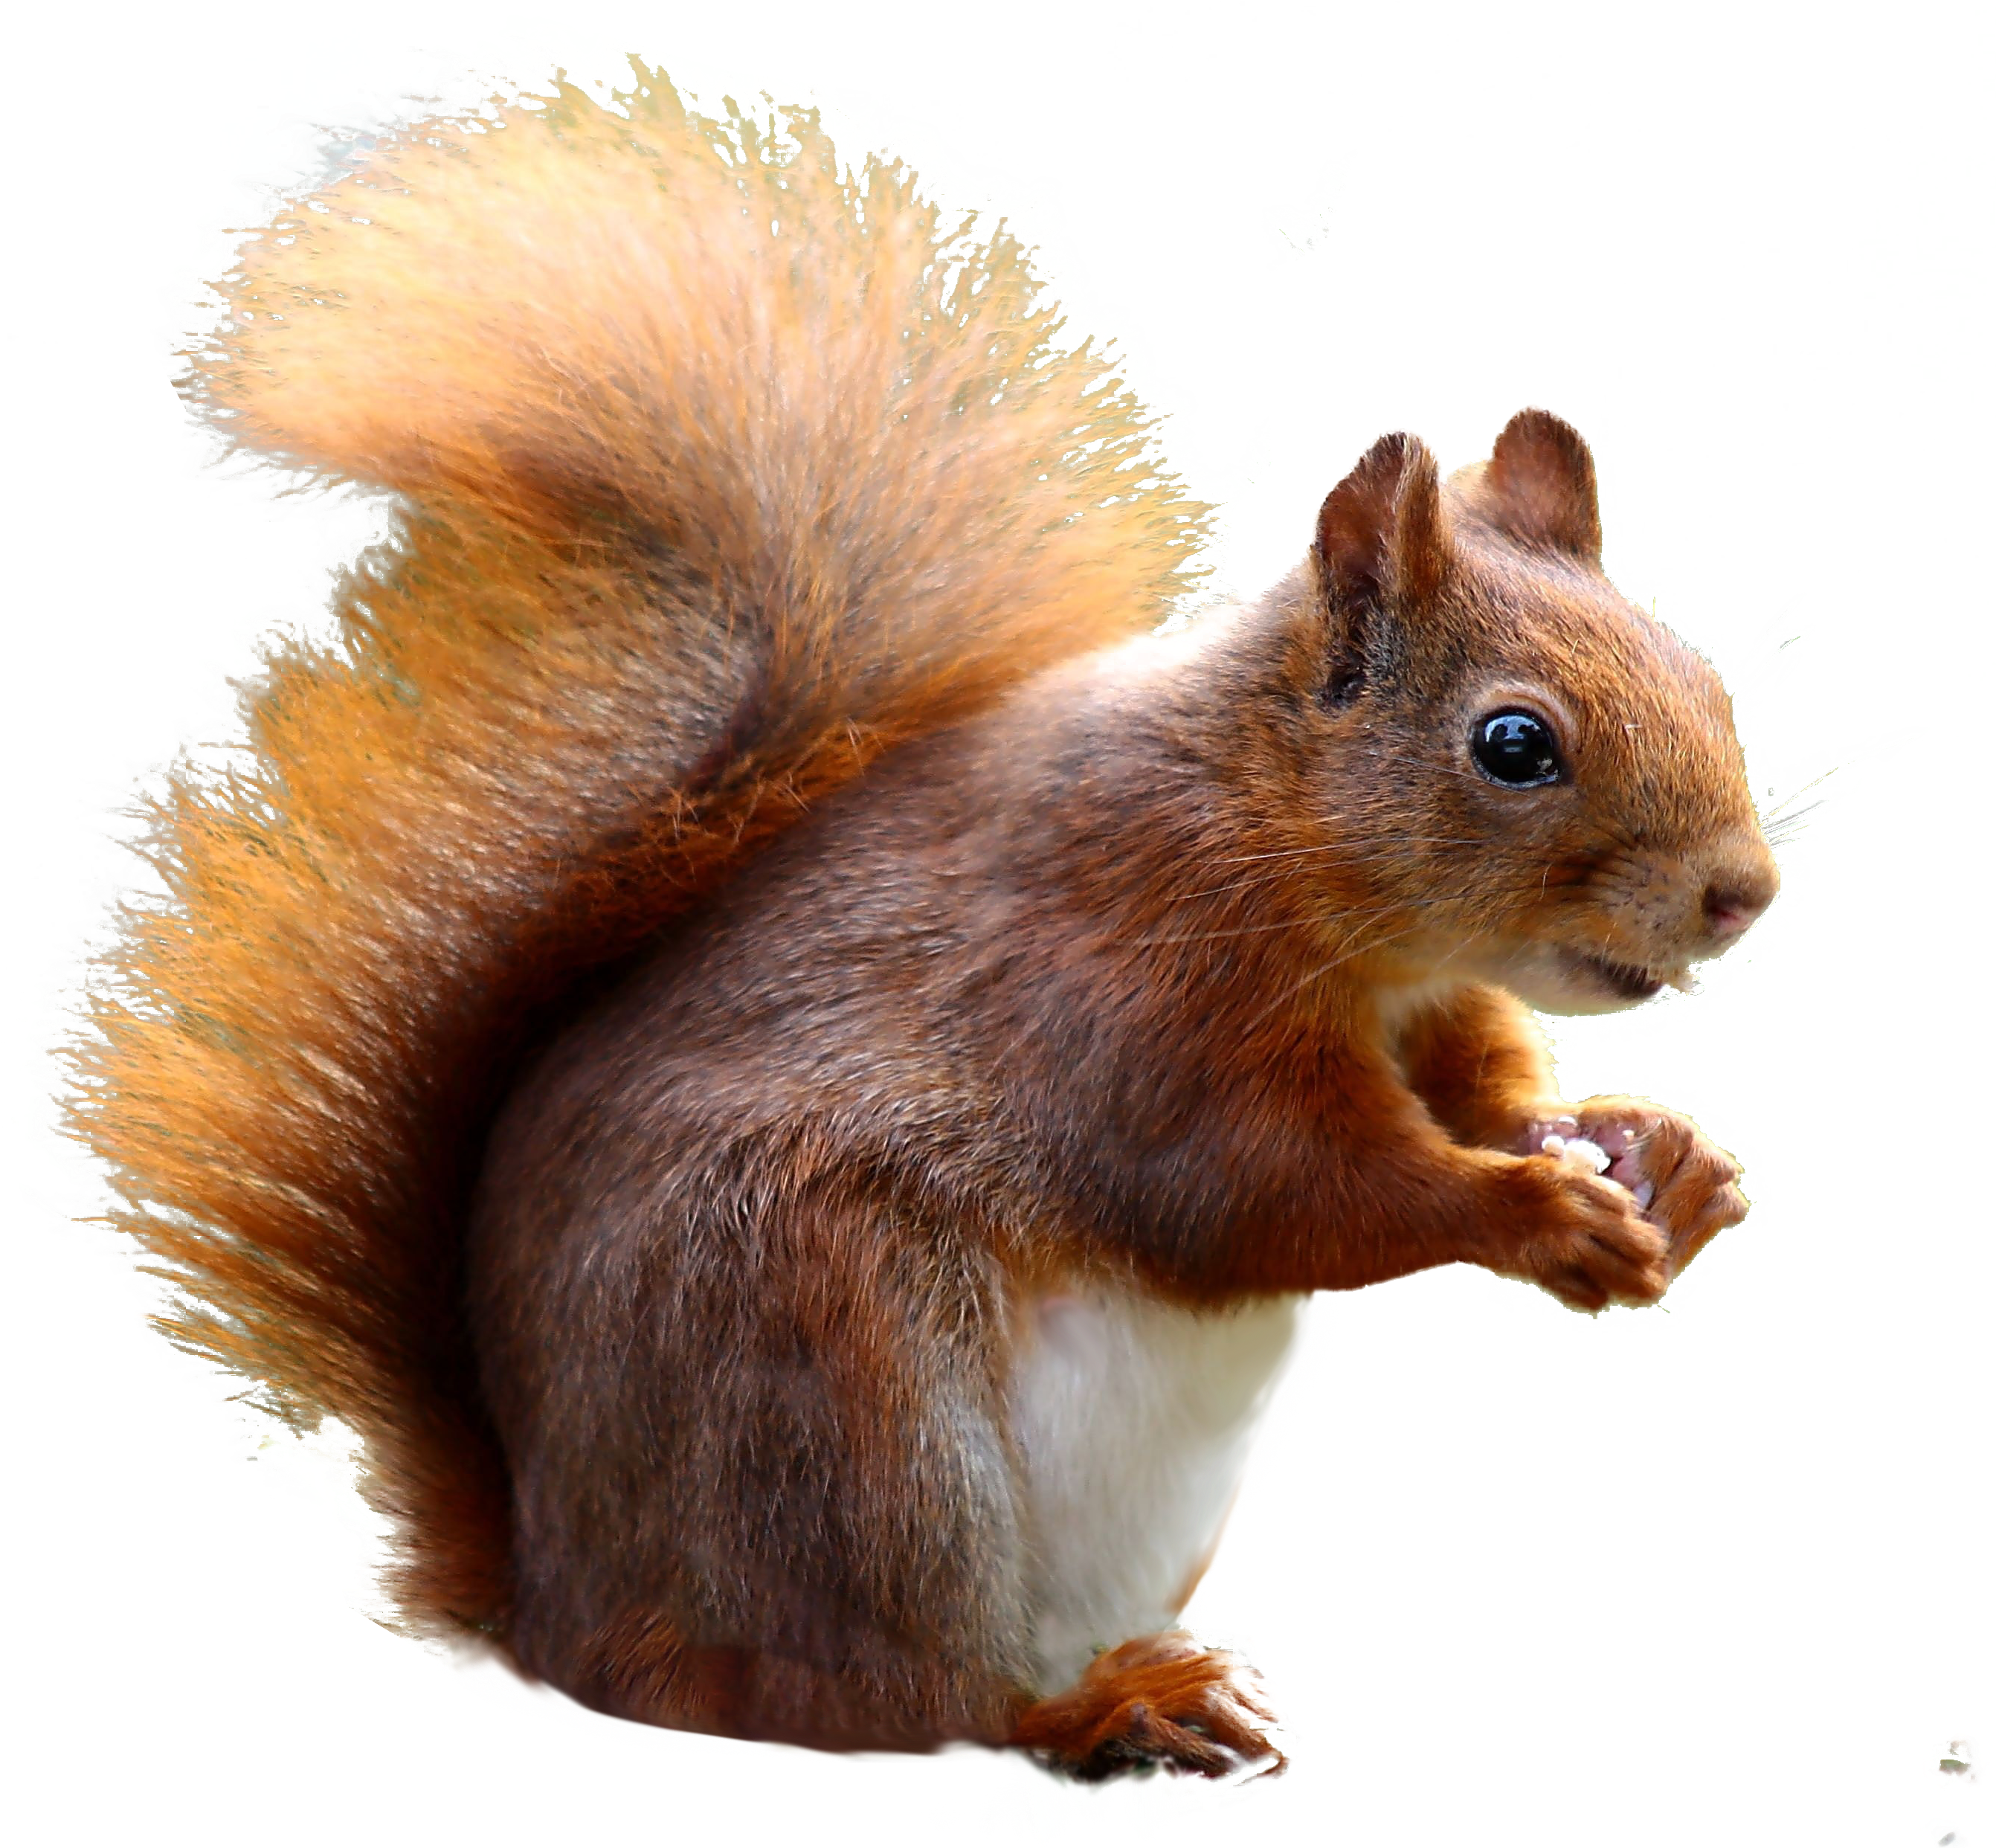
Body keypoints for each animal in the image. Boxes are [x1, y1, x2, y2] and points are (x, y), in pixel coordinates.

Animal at [35, 39, 1782, 1793]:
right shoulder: (1127, 986)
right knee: (888, 1698)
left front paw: (1652, 1155)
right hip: (833, 1392)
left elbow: (1487, 1091)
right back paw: (1098, 1713)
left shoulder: (1436, 1008)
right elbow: (1274, 1191)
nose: (1740, 892)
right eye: (1513, 745)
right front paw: (1534, 1216)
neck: (1306, 869)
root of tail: (552, 1611)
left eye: (1694, 671)